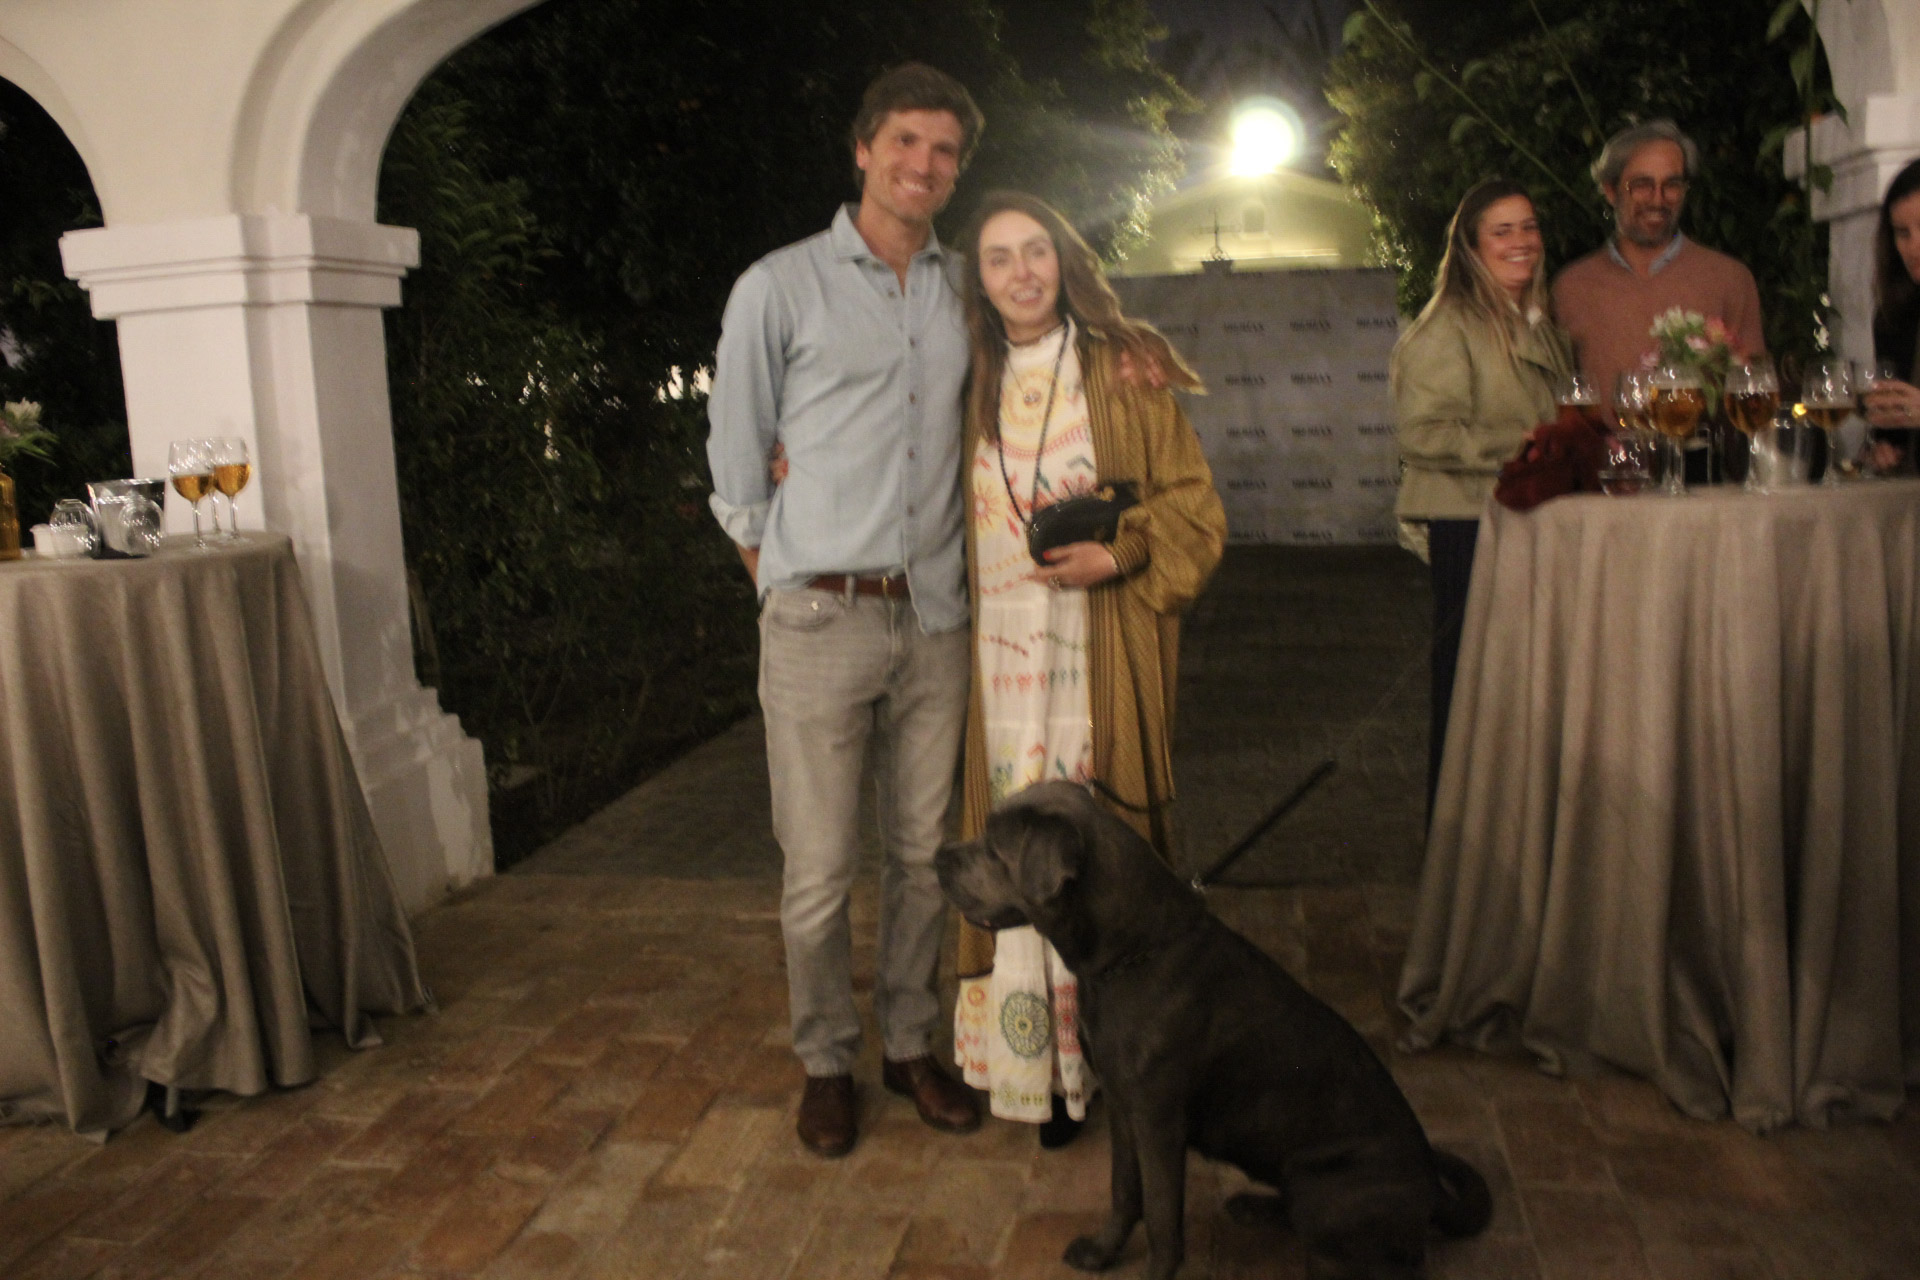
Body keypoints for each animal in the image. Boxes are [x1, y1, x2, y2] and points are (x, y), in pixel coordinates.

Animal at [937, 781, 1490, 1280]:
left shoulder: (1158, 1120)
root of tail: (1432, 1190)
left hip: (1325, 1197)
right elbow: (1123, 1191)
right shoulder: (1121, 1104)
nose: (940, 857)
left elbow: (1163, 1222)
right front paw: (1101, 1253)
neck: (1127, 956)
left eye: (994, 848)